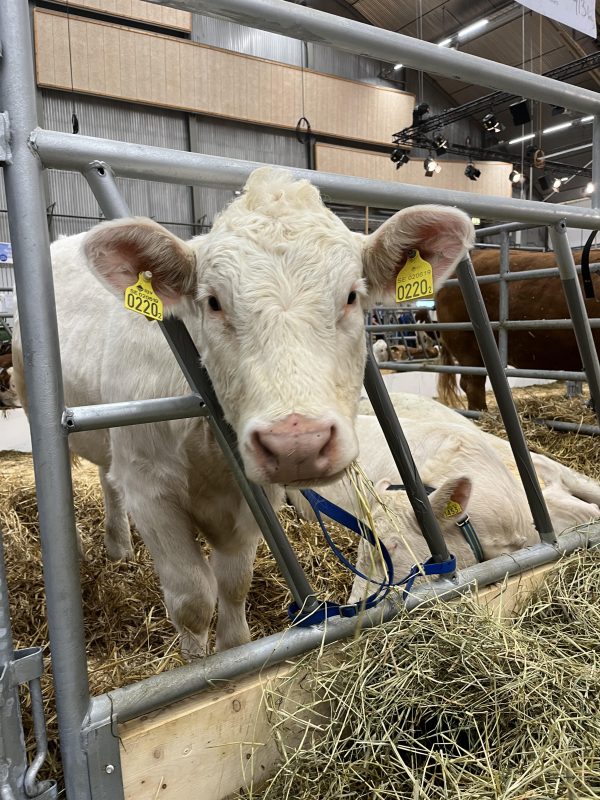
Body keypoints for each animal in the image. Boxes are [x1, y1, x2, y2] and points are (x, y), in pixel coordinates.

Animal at [11, 169, 476, 656]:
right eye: (213, 302)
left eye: (352, 296)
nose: (297, 443)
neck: (210, 450)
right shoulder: (150, 489)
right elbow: (192, 599)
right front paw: (198, 664)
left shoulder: (253, 500)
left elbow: (233, 584)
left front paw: (234, 649)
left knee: (106, 475)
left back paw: (119, 549)